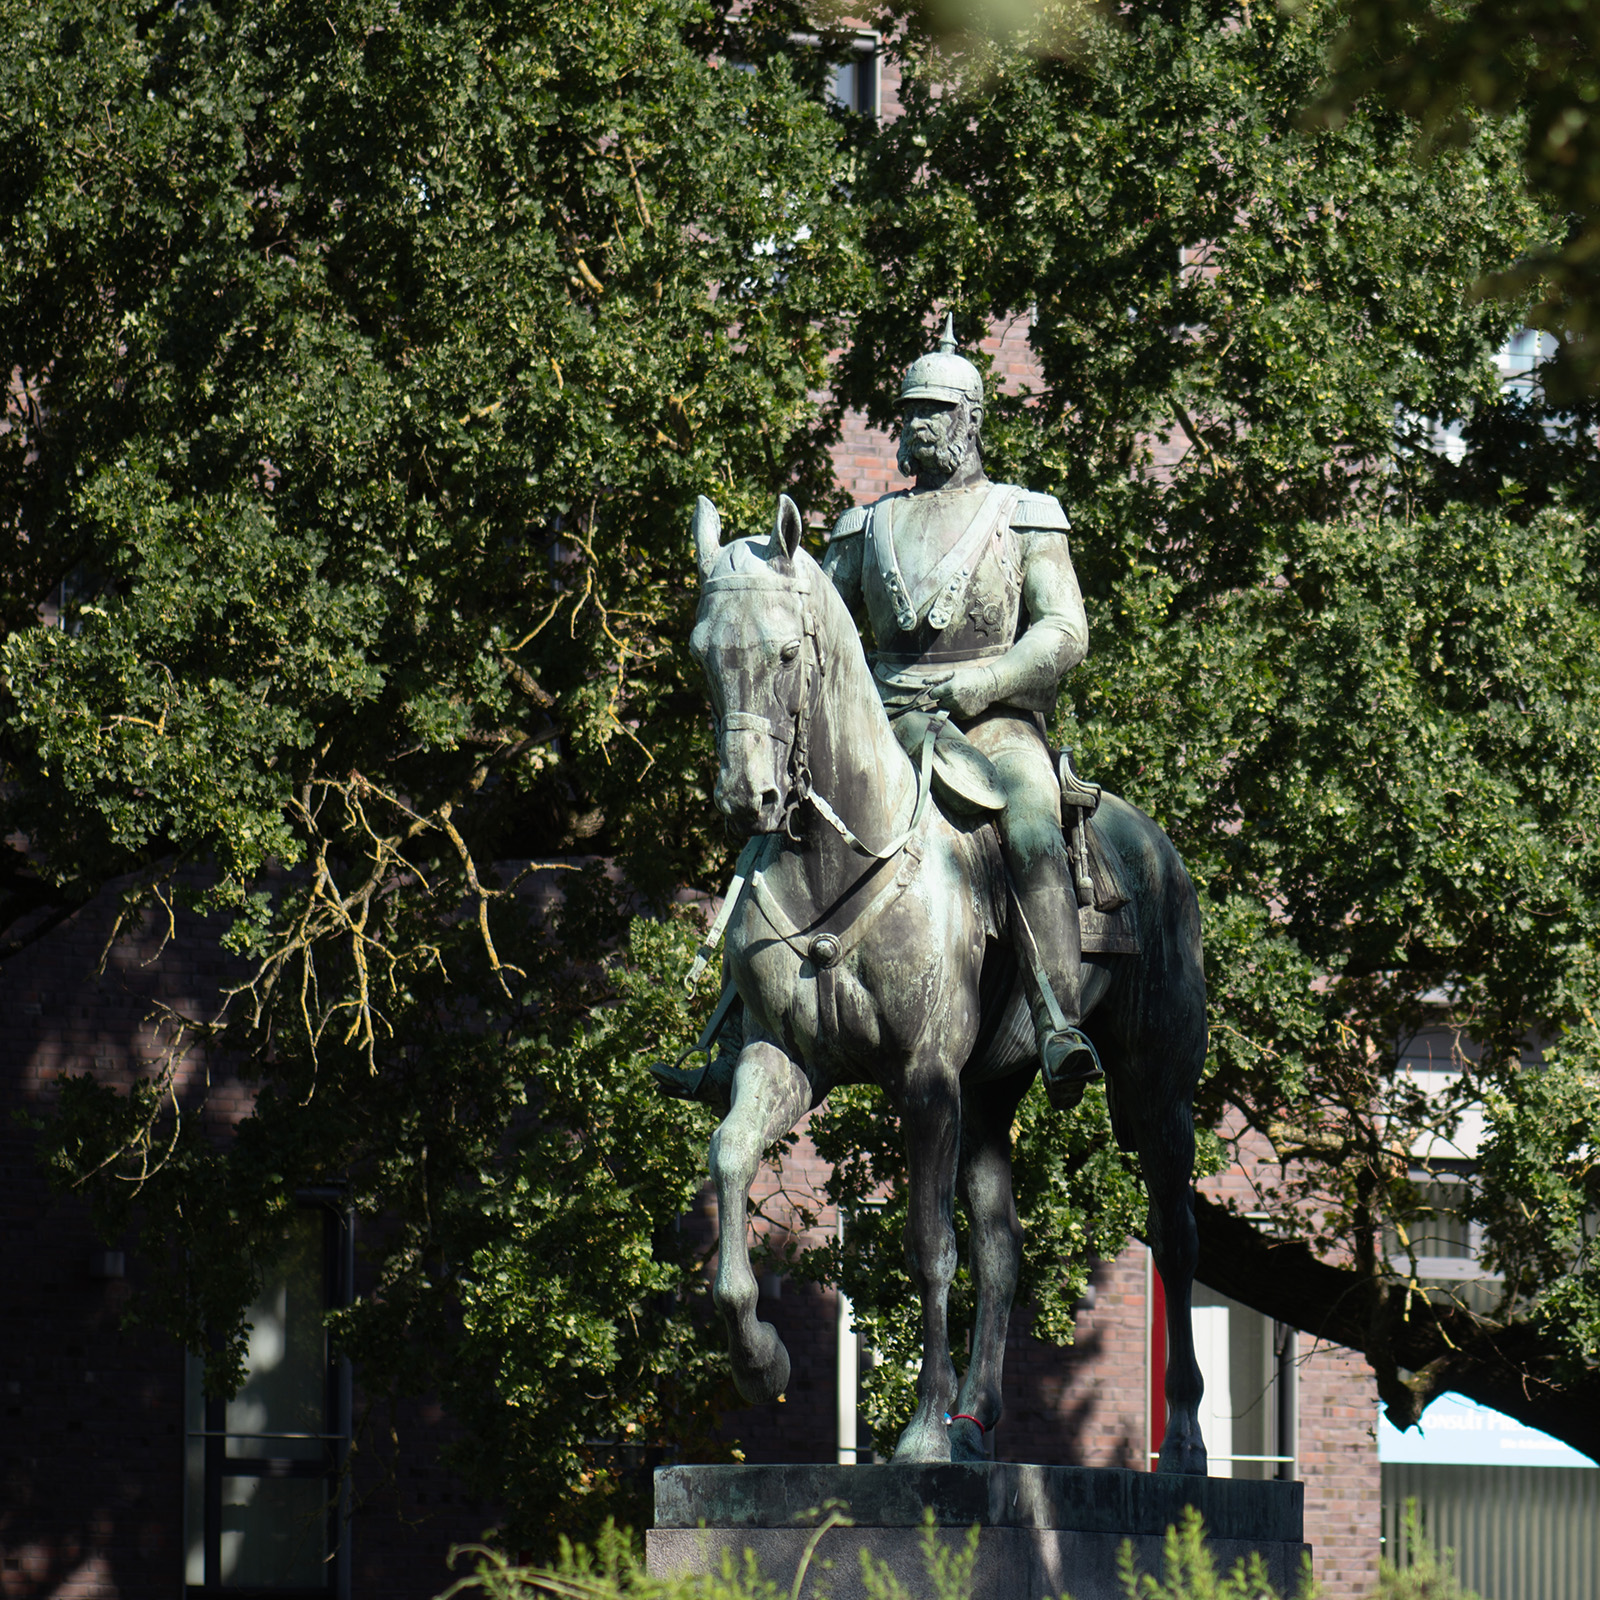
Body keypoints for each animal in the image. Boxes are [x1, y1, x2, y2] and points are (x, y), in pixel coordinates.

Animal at [681, 489, 1203, 1472]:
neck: (843, 858)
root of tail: (1155, 845)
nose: (747, 799)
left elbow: (929, 1244)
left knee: (1176, 1233)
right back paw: (980, 1421)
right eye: (703, 653)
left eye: (784, 652)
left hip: (1159, 1088)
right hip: (992, 1092)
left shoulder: (926, 1078)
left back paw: (1185, 1436)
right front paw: (761, 1360)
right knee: (1003, 1248)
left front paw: (920, 1432)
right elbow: (729, 1156)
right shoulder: (783, 1060)